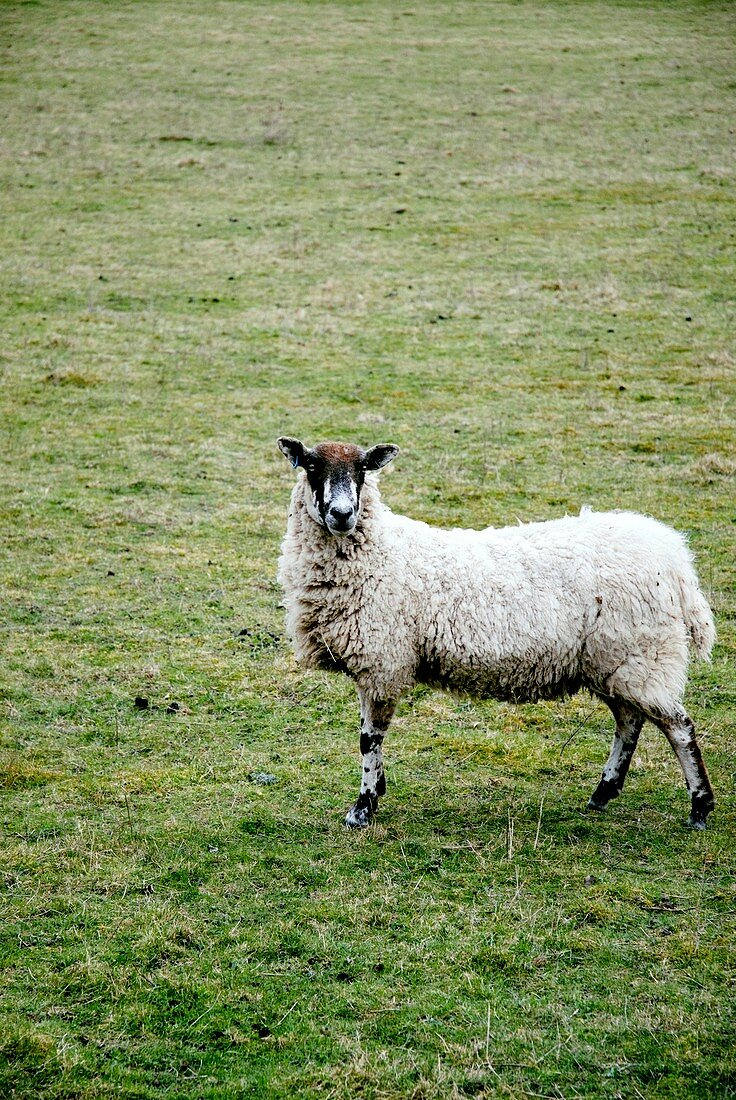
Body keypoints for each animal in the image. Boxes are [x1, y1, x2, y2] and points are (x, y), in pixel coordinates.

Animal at [275, 433, 712, 827]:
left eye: (363, 469)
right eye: (311, 466)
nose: (342, 514)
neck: (380, 552)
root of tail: (675, 558)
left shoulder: (383, 662)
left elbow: (370, 739)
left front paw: (363, 808)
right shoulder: (376, 666)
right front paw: (378, 789)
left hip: (642, 653)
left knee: (678, 726)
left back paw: (700, 806)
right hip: (615, 661)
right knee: (630, 721)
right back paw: (603, 793)